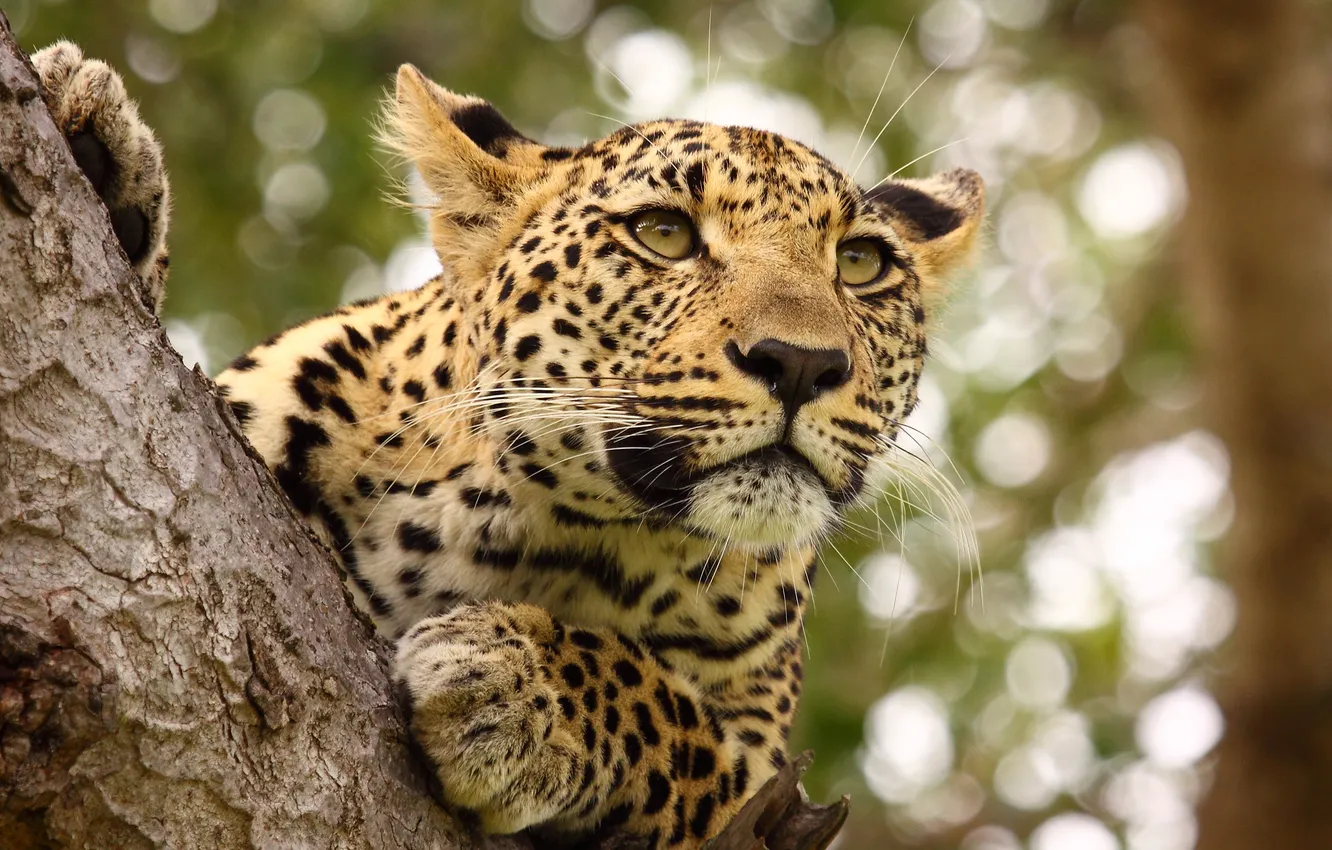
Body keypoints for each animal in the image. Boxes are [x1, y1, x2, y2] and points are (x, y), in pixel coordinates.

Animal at [31, 40, 984, 848]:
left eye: (860, 264)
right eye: (665, 234)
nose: (800, 362)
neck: (528, 527)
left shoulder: (761, 769)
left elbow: (667, 716)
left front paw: (513, 688)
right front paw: (93, 151)